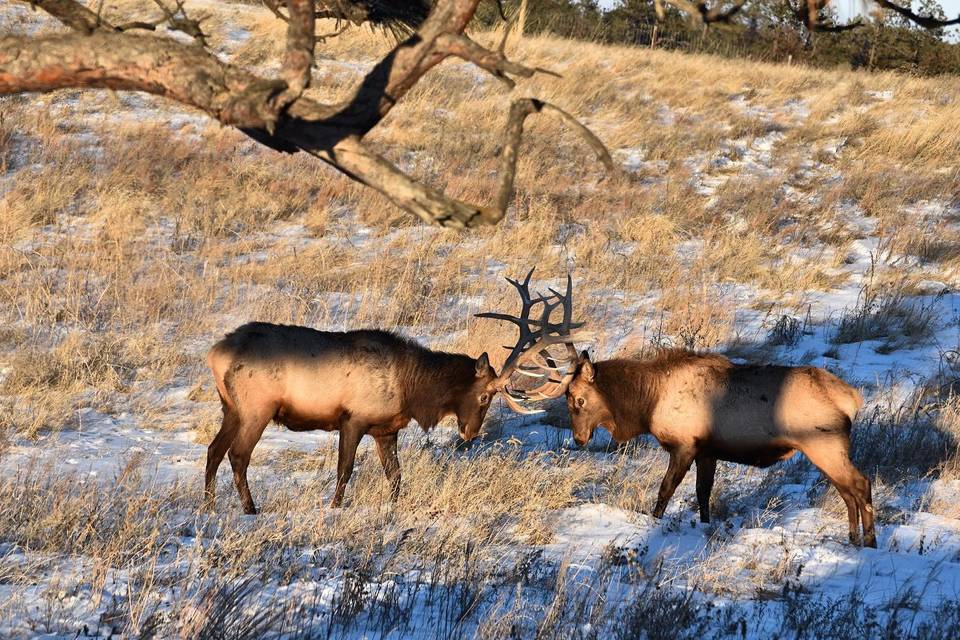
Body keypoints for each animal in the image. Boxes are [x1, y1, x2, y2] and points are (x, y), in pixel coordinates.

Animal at [204, 322, 502, 512]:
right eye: (484, 397)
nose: (471, 432)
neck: (411, 390)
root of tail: (214, 354)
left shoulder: (385, 429)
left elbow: (395, 474)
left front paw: (394, 505)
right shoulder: (352, 420)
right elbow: (344, 470)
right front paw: (335, 507)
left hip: (231, 408)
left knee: (213, 449)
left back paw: (209, 506)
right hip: (257, 409)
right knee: (237, 454)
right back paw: (250, 509)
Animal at [480, 272, 876, 548]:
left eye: (577, 398)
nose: (578, 439)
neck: (647, 404)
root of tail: (852, 398)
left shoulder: (685, 444)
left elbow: (664, 493)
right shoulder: (709, 451)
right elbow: (703, 498)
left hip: (822, 443)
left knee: (860, 484)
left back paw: (868, 543)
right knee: (848, 491)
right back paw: (853, 539)